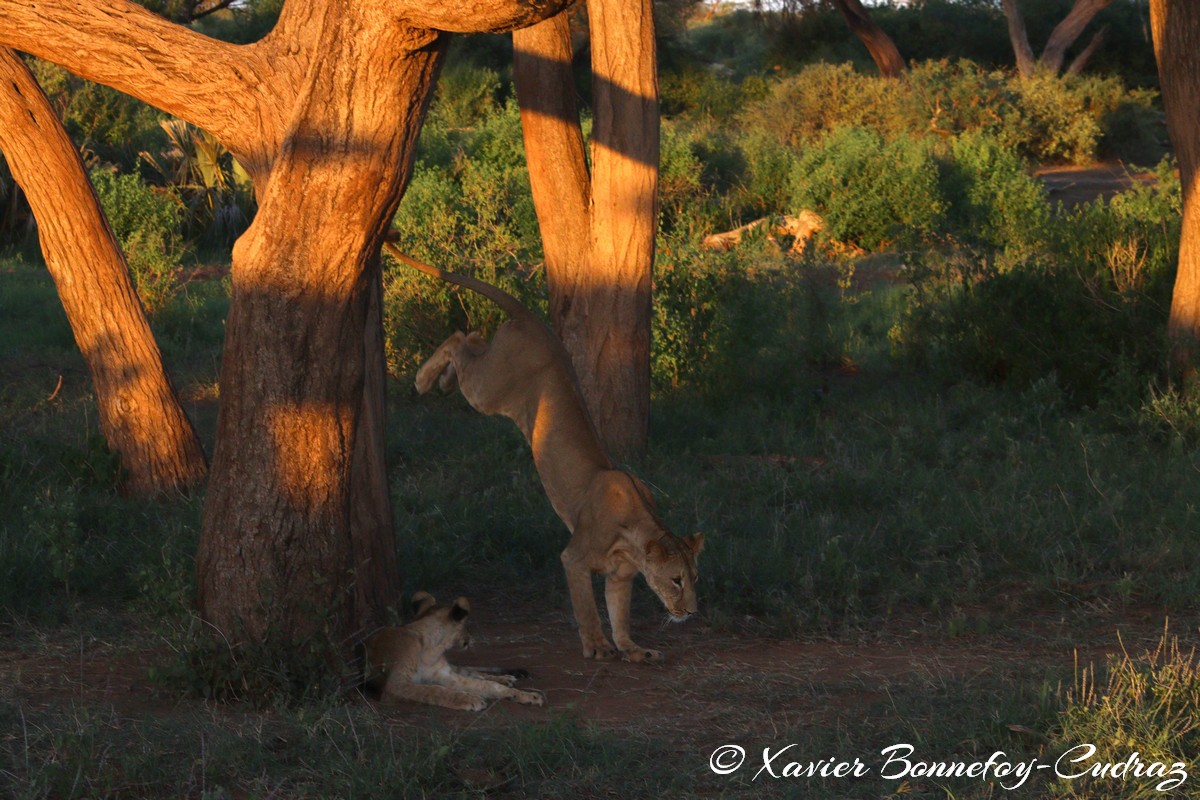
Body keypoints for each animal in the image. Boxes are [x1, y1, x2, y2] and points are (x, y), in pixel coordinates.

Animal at [384, 242, 700, 662]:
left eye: (695, 578)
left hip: (491, 375)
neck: (638, 533)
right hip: (490, 390)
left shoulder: (620, 577)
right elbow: (587, 608)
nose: (692, 612)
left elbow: (619, 615)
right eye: (677, 580)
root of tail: (531, 318)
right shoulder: (576, 558)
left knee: (471, 336)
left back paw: (443, 382)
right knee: (457, 340)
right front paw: (598, 646)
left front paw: (633, 649)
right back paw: (423, 381)